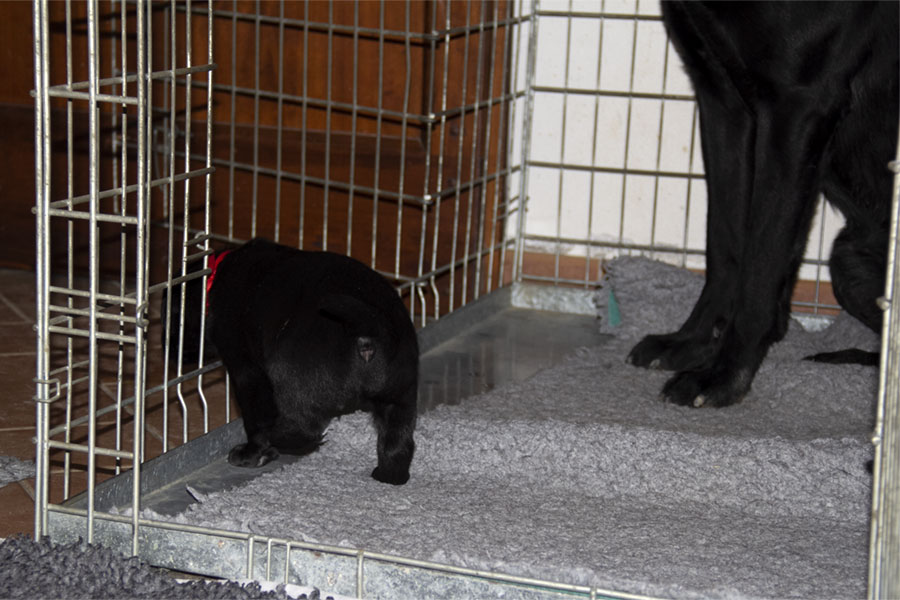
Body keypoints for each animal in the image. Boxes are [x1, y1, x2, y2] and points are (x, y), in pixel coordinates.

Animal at [163, 238, 418, 485]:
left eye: (173, 319)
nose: (168, 349)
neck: (215, 275)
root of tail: (371, 327)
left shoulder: (247, 372)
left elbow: (255, 417)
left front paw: (253, 454)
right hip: (401, 395)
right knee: (398, 442)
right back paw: (388, 476)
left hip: (290, 375)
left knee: (302, 427)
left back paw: (279, 436)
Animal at [627, 1, 898, 407]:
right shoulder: (721, 98)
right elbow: (725, 245)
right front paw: (694, 341)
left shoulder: (797, 107)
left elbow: (761, 265)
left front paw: (723, 375)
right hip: (847, 259)